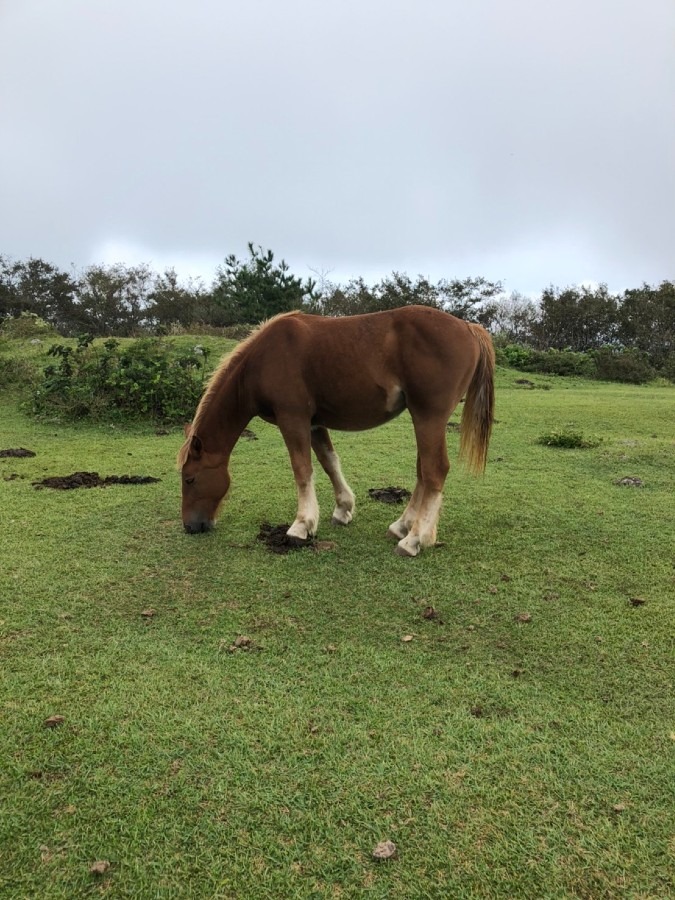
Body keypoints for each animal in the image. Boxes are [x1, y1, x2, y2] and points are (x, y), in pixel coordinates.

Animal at [178, 304, 496, 556]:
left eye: (190, 479)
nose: (190, 526)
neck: (262, 360)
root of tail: (468, 328)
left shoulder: (292, 419)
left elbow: (302, 469)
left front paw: (301, 526)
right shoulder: (314, 422)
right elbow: (329, 462)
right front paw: (343, 509)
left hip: (428, 417)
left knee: (434, 470)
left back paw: (414, 539)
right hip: (425, 421)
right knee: (423, 472)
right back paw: (403, 526)